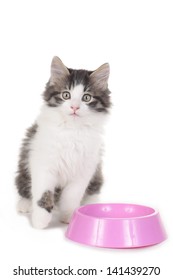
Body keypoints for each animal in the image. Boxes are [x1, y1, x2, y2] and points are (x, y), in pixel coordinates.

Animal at [15, 55, 111, 229]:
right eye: (66, 95)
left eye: (86, 97)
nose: (74, 107)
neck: (72, 130)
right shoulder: (43, 164)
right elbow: (43, 192)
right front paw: (40, 220)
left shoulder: (84, 169)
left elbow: (72, 196)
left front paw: (69, 217)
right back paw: (25, 205)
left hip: (96, 173)